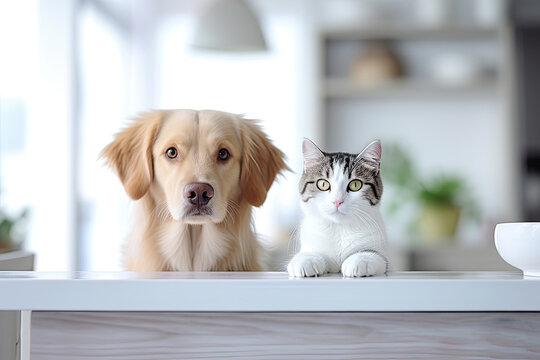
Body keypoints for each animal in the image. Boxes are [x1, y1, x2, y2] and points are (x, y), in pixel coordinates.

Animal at [286, 139, 388, 278]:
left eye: (355, 185)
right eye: (323, 184)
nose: (337, 201)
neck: (339, 228)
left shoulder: (382, 255)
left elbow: (374, 255)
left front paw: (359, 260)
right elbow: (309, 253)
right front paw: (306, 260)